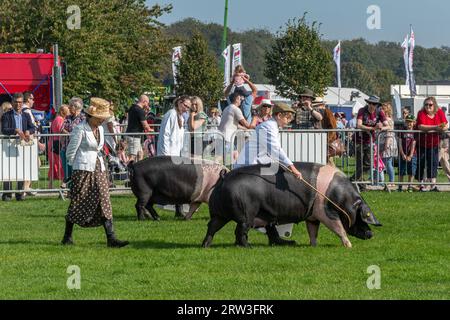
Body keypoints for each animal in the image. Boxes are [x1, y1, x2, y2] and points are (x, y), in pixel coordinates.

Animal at [202, 162, 382, 248]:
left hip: (219, 213)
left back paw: (205, 246)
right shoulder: (326, 212)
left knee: (212, 227)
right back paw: (248, 247)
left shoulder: (312, 216)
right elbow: (338, 227)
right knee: (240, 231)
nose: (371, 234)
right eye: (362, 216)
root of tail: (224, 177)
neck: (341, 200)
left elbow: (313, 231)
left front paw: (313, 245)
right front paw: (349, 246)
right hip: (246, 214)